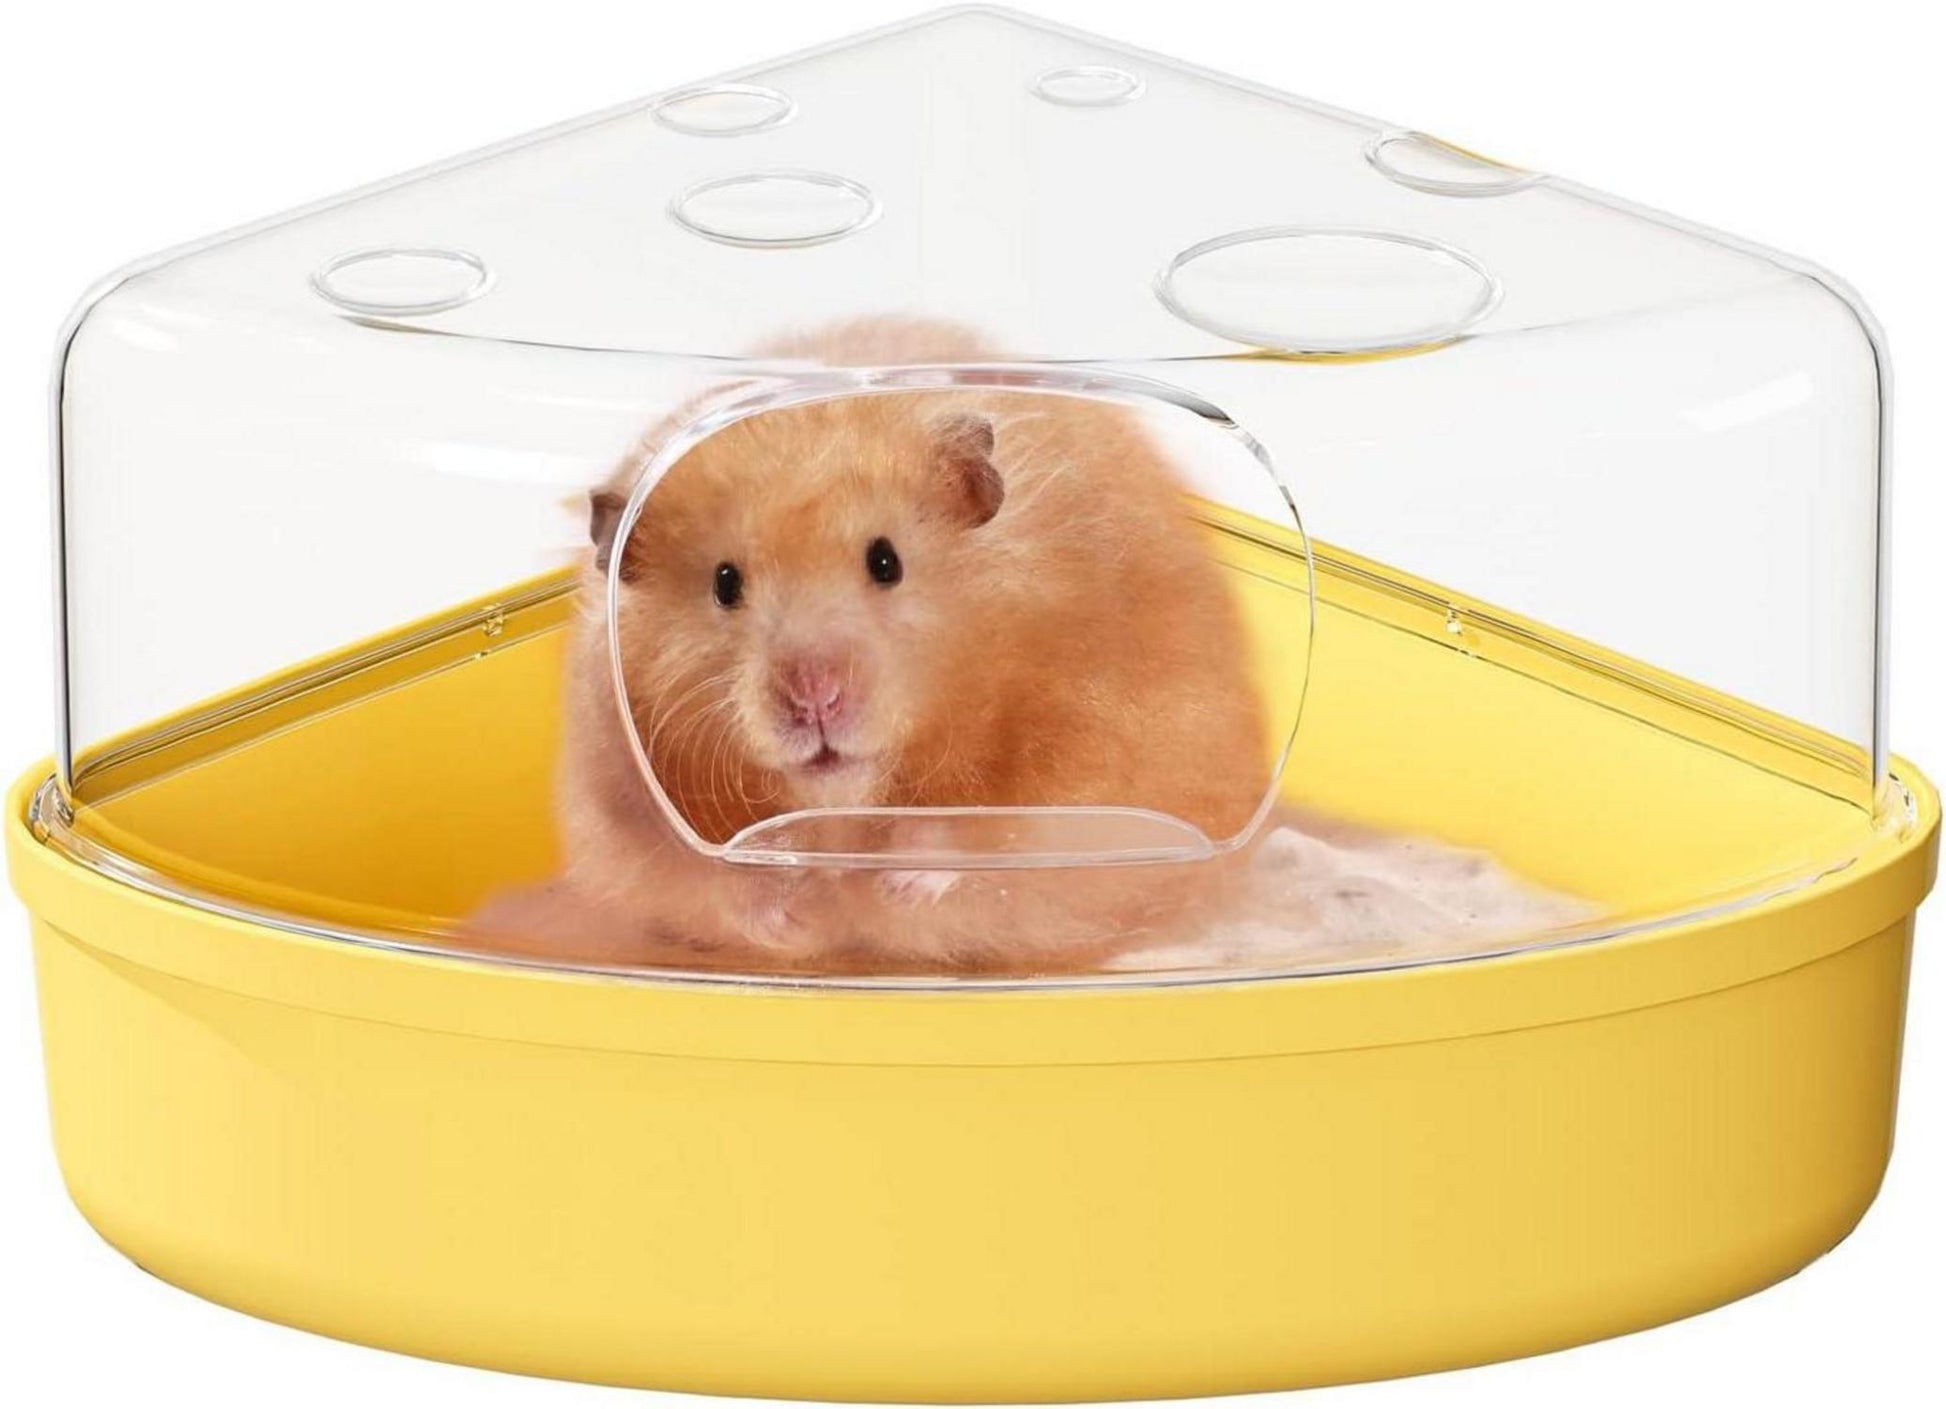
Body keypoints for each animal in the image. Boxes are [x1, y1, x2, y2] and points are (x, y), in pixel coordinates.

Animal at [465, 318, 1270, 976]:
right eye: (725, 584)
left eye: (886, 561)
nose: (815, 696)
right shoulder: (616, 790)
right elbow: (697, 877)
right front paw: (795, 900)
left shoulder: (1101, 721)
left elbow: (1018, 820)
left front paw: (897, 881)